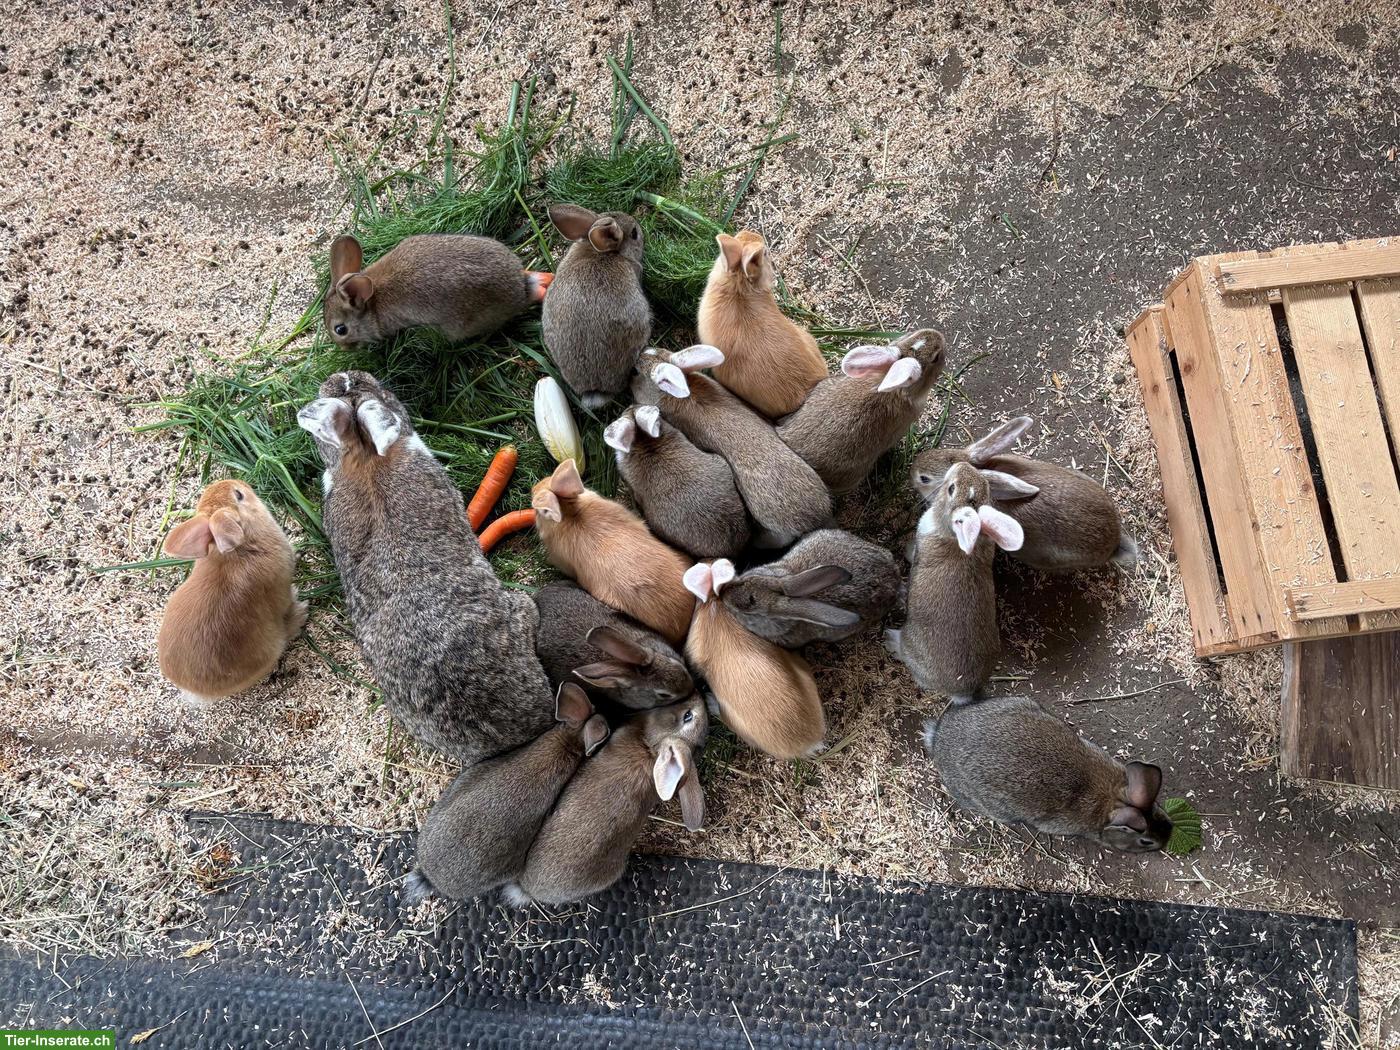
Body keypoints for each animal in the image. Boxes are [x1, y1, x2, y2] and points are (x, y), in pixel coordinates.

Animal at [157, 480, 307, 703]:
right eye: (239, 495)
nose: (242, 483)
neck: (240, 550)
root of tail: (194, 691)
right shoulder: (282, 592)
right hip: (273, 646)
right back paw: (301, 614)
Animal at [885, 462, 1024, 700]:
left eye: (951, 489)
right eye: (986, 485)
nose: (961, 465)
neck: (951, 533)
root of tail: (963, 693)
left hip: (911, 646)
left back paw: (889, 639)